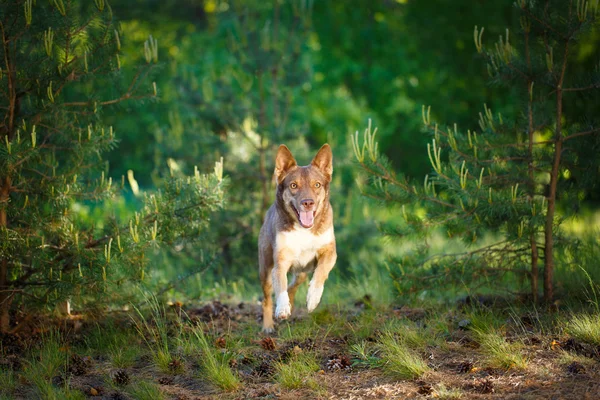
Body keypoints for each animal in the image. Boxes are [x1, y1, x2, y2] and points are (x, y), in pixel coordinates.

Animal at [258, 145, 338, 332]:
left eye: (317, 185)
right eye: (293, 185)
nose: (307, 203)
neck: (304, 230)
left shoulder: (330, 252)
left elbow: (321, 272)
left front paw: (313, 298)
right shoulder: (280, 262)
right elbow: (280, 285)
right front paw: (282, 309)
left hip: (302, 270)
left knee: (294, 285)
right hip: (265, 268)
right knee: (267, 297)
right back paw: (268, 325)